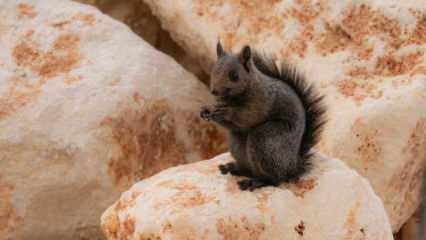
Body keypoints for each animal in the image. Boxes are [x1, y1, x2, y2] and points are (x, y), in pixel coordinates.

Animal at [200, 41, 326, 191]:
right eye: (214, 70)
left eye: (234, 75)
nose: (214, 91)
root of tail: (292, 165)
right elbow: (233, 125)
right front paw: (206, 110)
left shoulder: (262, 102)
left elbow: (248, 116)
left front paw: (226, 112)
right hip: (238, 144)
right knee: (249, 169)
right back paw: (233, 168)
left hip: (265, 140)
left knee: (275, 180)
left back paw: (255, 182)